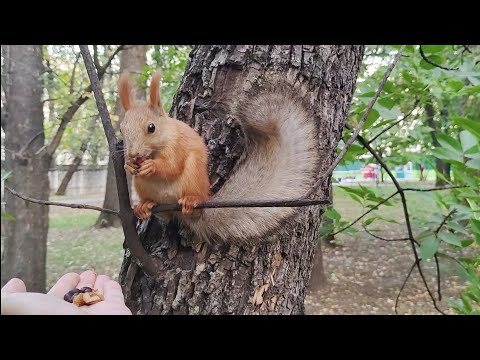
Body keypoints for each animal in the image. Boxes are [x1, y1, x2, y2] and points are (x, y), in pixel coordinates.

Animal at [117, 70, 318, 245]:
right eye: (122, 129)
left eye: (151, 127)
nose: (133, 154)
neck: (158, 146)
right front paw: (128, 166)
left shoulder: (178, 145)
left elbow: (173, 165)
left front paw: (151, 166)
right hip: (143, 186)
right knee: (162, 213)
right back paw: (145, 205)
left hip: (192, 177)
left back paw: (191, 200)